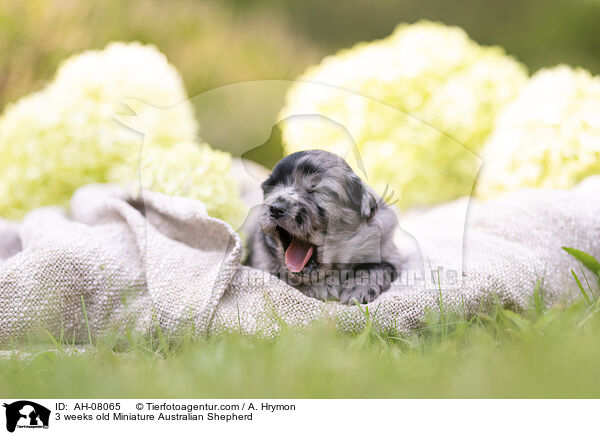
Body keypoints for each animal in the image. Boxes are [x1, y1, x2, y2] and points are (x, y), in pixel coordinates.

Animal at [246, 150, 400, 304]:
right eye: (271, 188)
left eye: (315, 189)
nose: (276, 209)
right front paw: (322, 286)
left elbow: (377, 266)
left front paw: (358, 288)